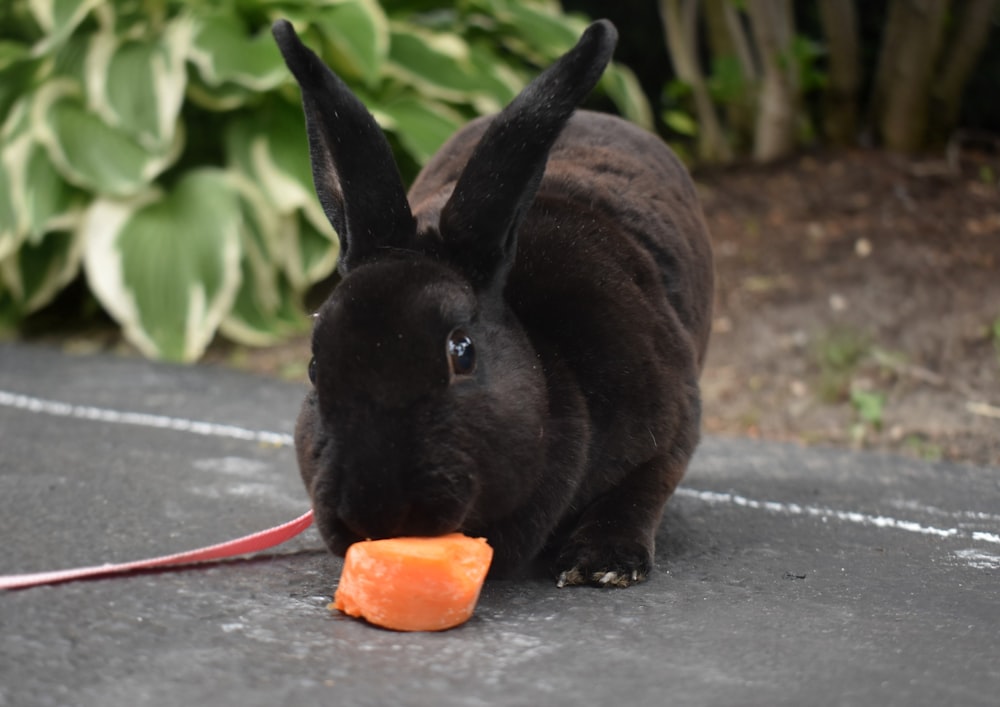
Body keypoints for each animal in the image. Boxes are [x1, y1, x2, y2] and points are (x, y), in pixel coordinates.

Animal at [274, 19, 712, 588]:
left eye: (462, 353)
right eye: (313, 367)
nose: (373, 510)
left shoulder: (675, 425)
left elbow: (643, 489)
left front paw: (601, 563)